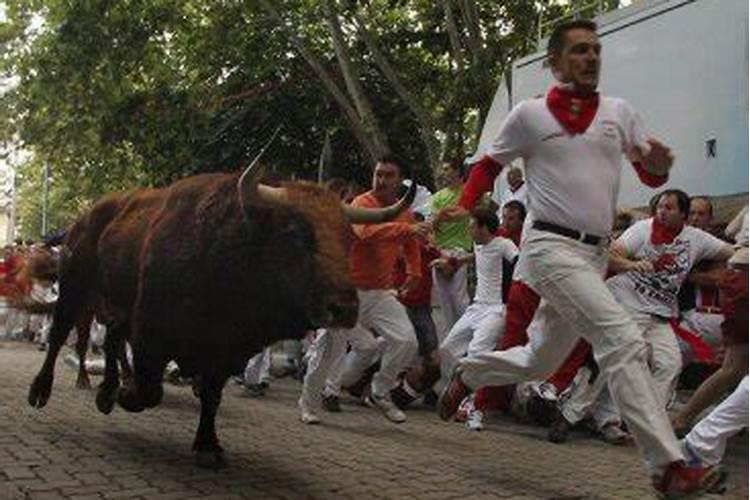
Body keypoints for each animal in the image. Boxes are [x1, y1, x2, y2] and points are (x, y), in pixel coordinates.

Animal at [29, 163, 418, 468]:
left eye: (349, 239)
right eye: (296, 234)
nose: (344, 308)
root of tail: (88, 216)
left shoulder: (225, 350)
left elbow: (211, 396)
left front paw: (208, 446)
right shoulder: (151, 335)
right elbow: (150, 389)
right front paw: (127, 395)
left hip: (114, 308)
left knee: (109, 342)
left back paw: (106, 391)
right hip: (75, 292)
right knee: (61, 335)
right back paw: (43, 391)